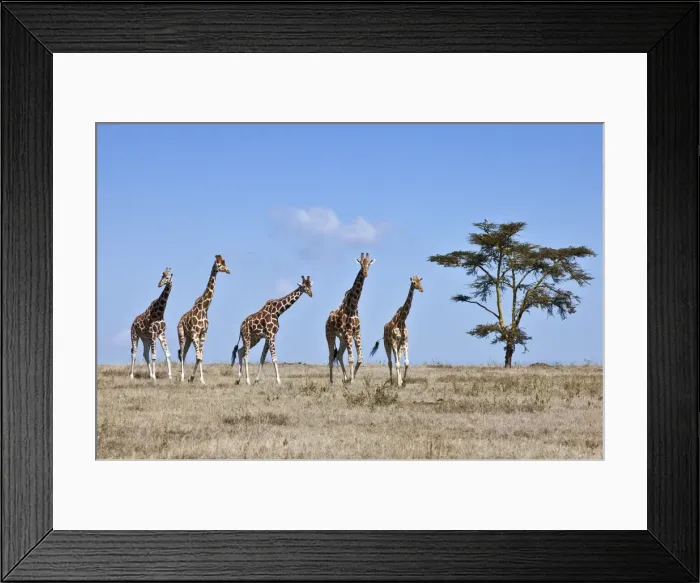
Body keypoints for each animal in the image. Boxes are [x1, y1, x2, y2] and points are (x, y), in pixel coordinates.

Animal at [177, 254, 230, 384]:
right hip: (181, 334)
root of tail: (179, 321)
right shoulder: (195, 333)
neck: (205, 307)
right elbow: (198, 356)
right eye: (219, 264)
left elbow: (201, 356)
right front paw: (192, 378)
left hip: (189, 338)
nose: (228, 271)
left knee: (184, 354)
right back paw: (181, 378)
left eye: (225, 262)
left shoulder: (203, 333)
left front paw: (199, 379)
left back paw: (185, 377)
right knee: (182, 353)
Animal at [325, 252, 375, 384]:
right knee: (331, 356)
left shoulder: (356, 332)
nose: (365, 273)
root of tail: (327, 320)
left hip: (342, 338)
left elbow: (360, 358)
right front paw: (352, 381)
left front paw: (350, 379)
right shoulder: (348, 333)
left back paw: (345, 377)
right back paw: (332, 381)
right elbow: (351, 358)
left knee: (339, 355)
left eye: (369, 264)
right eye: (360, 264)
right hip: (330, 335)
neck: (353, 306)